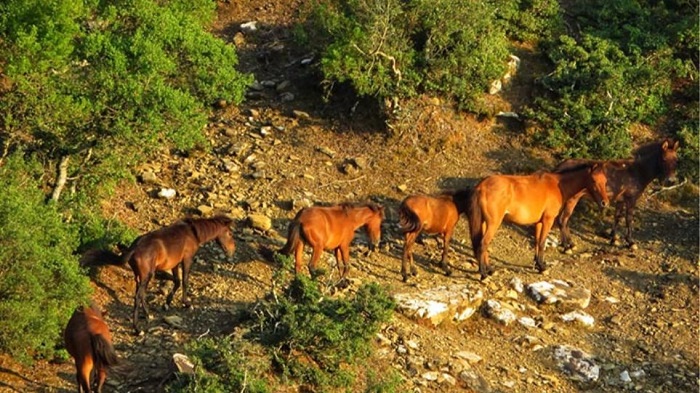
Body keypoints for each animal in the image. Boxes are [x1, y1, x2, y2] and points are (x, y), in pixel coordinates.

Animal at [81, 216, 237, 332]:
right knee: (138, 297)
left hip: (140, 276)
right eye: (230, 233)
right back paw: (137, 328)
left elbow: (177, 281)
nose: (232, 251)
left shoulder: (174, 263)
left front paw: (167, 303)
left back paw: (148, 315)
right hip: (147, 275)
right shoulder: (187, 259)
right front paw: (186, 303)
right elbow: (185, 281)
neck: (193, 232)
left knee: (142, 294)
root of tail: (134, 248)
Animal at [468, 162, 608, 278]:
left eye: (605, 181)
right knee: (483, 244)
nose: (604, 203)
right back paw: (484, 274)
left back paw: (490, 269)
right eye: (594, 180)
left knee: (483, 245)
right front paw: (542, 267)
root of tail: (481, 186)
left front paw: (538, 265)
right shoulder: (548, 220)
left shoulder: (539, 223)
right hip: (493, 223)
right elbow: (542, 243)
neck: (558, 186)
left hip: (485, 223)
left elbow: (537, 242)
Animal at [552, 139, 680, 248]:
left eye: (676, 160)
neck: (637, 171)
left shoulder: (620, 200)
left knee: (562, 220)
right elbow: (629, 219)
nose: (671, 180)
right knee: (563, 220)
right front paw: (630, 242)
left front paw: (613, 239)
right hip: (572, 200)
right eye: (663, 159)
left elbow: (617, 218)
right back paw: (568, 245)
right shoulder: (631, 200)